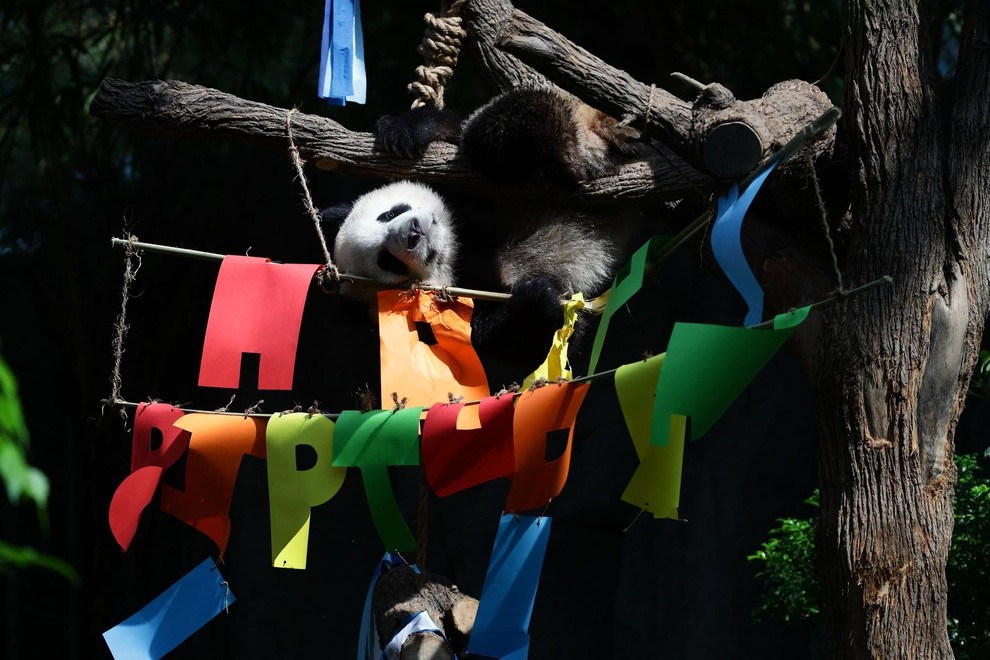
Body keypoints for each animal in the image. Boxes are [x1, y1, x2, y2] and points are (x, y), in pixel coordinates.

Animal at [328, 86, 652, 372]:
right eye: (388, 261)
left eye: (389, 214)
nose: (414, 233)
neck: (459, 245)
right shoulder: (460, 308)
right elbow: (525, 344)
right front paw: (539, 299)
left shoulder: (457, 182)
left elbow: (456, 133)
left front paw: (403, 131)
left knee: (501, 123)